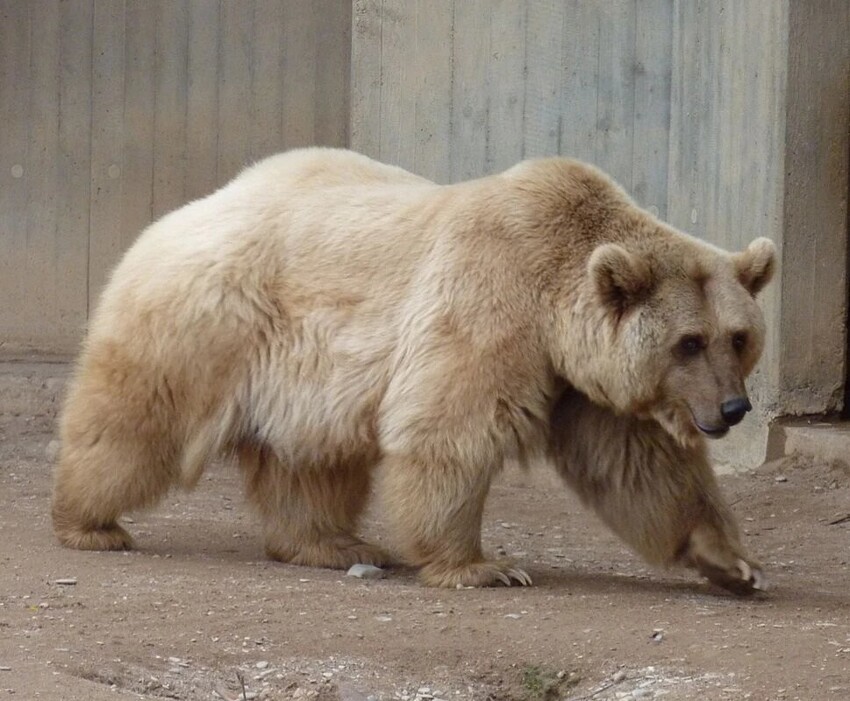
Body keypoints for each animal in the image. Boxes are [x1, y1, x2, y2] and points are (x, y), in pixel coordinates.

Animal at [49, 146, 772, 592]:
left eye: (737, 337)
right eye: (689, 341)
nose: (733, 409)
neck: (555, 302)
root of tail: (176, 214)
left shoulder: (579, 380)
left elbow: (639, 465)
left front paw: (733, 562)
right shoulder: (491, 305)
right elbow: (450, 430)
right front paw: (484, 565)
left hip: (306, 375)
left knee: (311, 461)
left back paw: (334, 543)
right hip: (208, 320)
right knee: (135, 421)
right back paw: (89, 521)